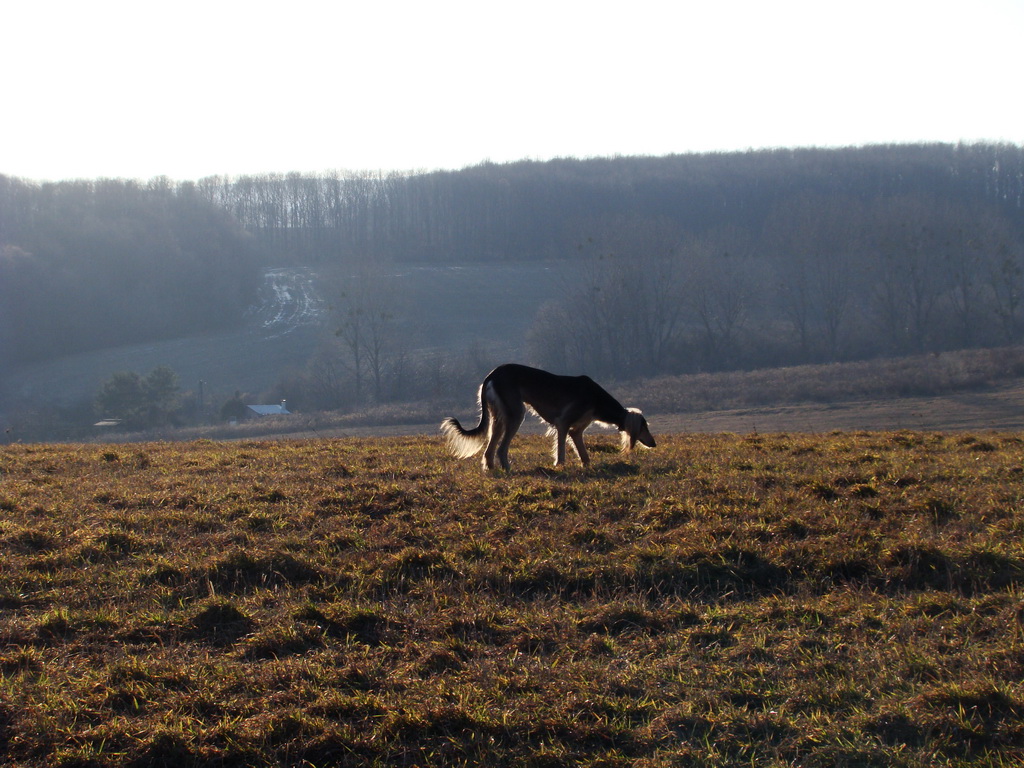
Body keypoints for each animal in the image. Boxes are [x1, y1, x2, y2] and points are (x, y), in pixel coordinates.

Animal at [442, 364, 655, 473]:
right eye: (645, 427)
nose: (654, 444)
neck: (596, 398)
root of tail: (493, 373)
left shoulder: (576, 430)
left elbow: (584, 453)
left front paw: (587, 466)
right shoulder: (563, 424)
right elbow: (560, 450)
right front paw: (559, 466)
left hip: (499, 417)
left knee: (490, 449)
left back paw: (493, 469)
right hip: (516, 414)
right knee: (501, 448)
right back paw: (508, 468)